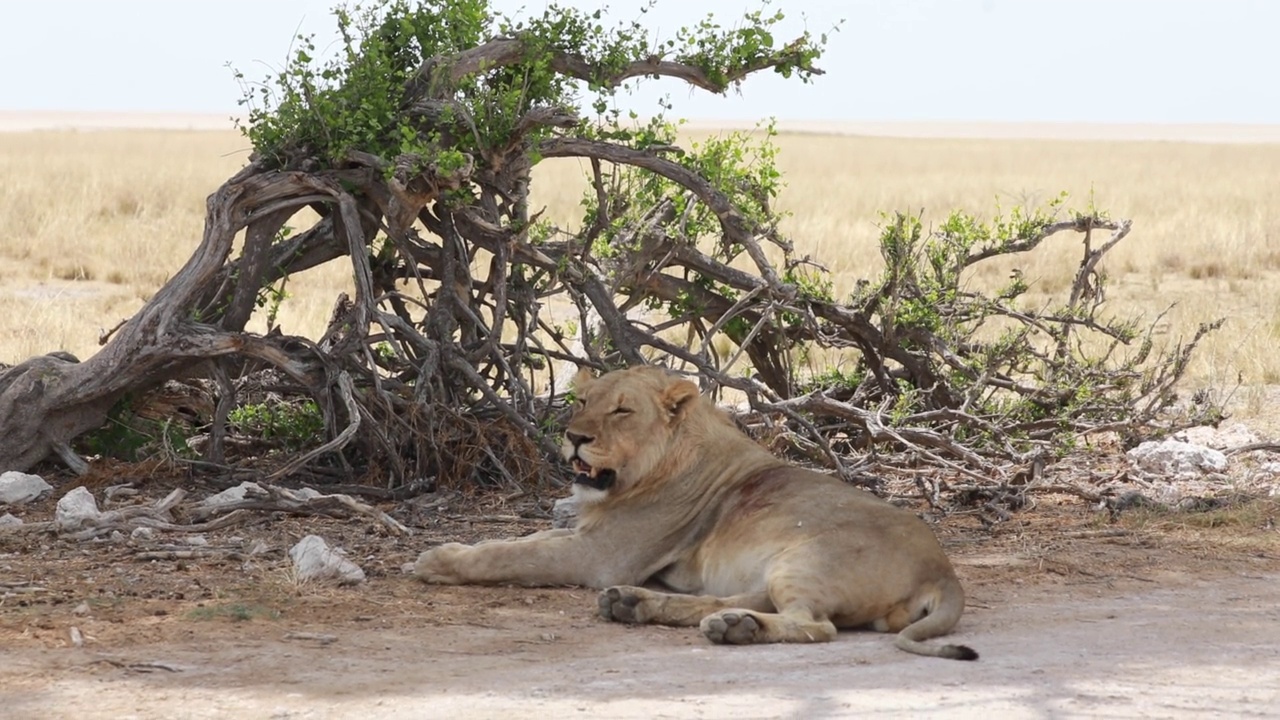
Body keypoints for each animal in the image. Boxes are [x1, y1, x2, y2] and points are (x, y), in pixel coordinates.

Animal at [414, 363, 972, 655]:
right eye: (582, 402)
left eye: (622, 409)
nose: (574, 437)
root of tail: (943, 570)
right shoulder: (589, 537)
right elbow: (519, 540)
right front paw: (451, 548)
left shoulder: (601, 557)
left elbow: (510, 555)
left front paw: (437, 561)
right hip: (779, 568)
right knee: (739, 601)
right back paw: (642, 606)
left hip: (805, 558)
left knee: (814, 625)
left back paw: (733, 629)